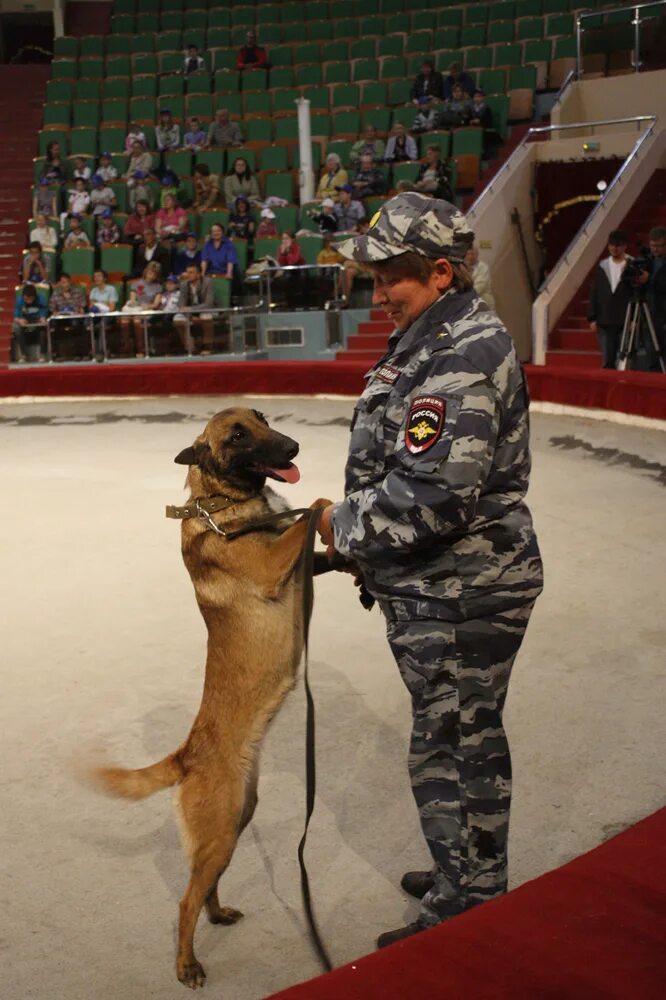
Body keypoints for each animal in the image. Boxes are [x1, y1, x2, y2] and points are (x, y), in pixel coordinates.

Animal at [91, 408, 332, 992]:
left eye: (262, 419)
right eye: (238, 436)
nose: (293, 446)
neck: (222, 505)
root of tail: (186, 755)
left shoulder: (299, 563)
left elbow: (313, 545)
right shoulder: (274, 565)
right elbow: (308, 513)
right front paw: (325, 505)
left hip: (232, 826)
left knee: (204, 890)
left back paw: (219, 913)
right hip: (221, 831)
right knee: (183, 903)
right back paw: (187, 965)